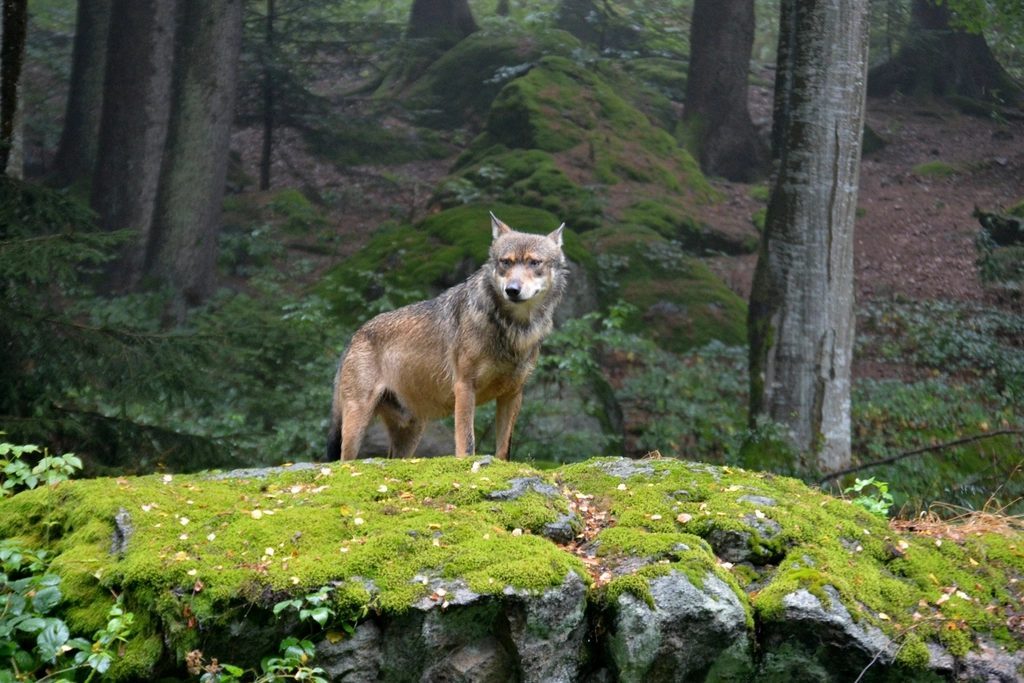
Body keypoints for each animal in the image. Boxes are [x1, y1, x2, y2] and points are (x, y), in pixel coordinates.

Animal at [325, 213, 568, 461]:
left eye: (534, 262)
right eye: (506, 262)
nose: (512, 289)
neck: (512, 328)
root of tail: (355, 336)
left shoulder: (513, 394)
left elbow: (503, 449)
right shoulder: (464, 387)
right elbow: (467, 442)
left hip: (410, 434)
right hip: (356, 424)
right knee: (344, 461)